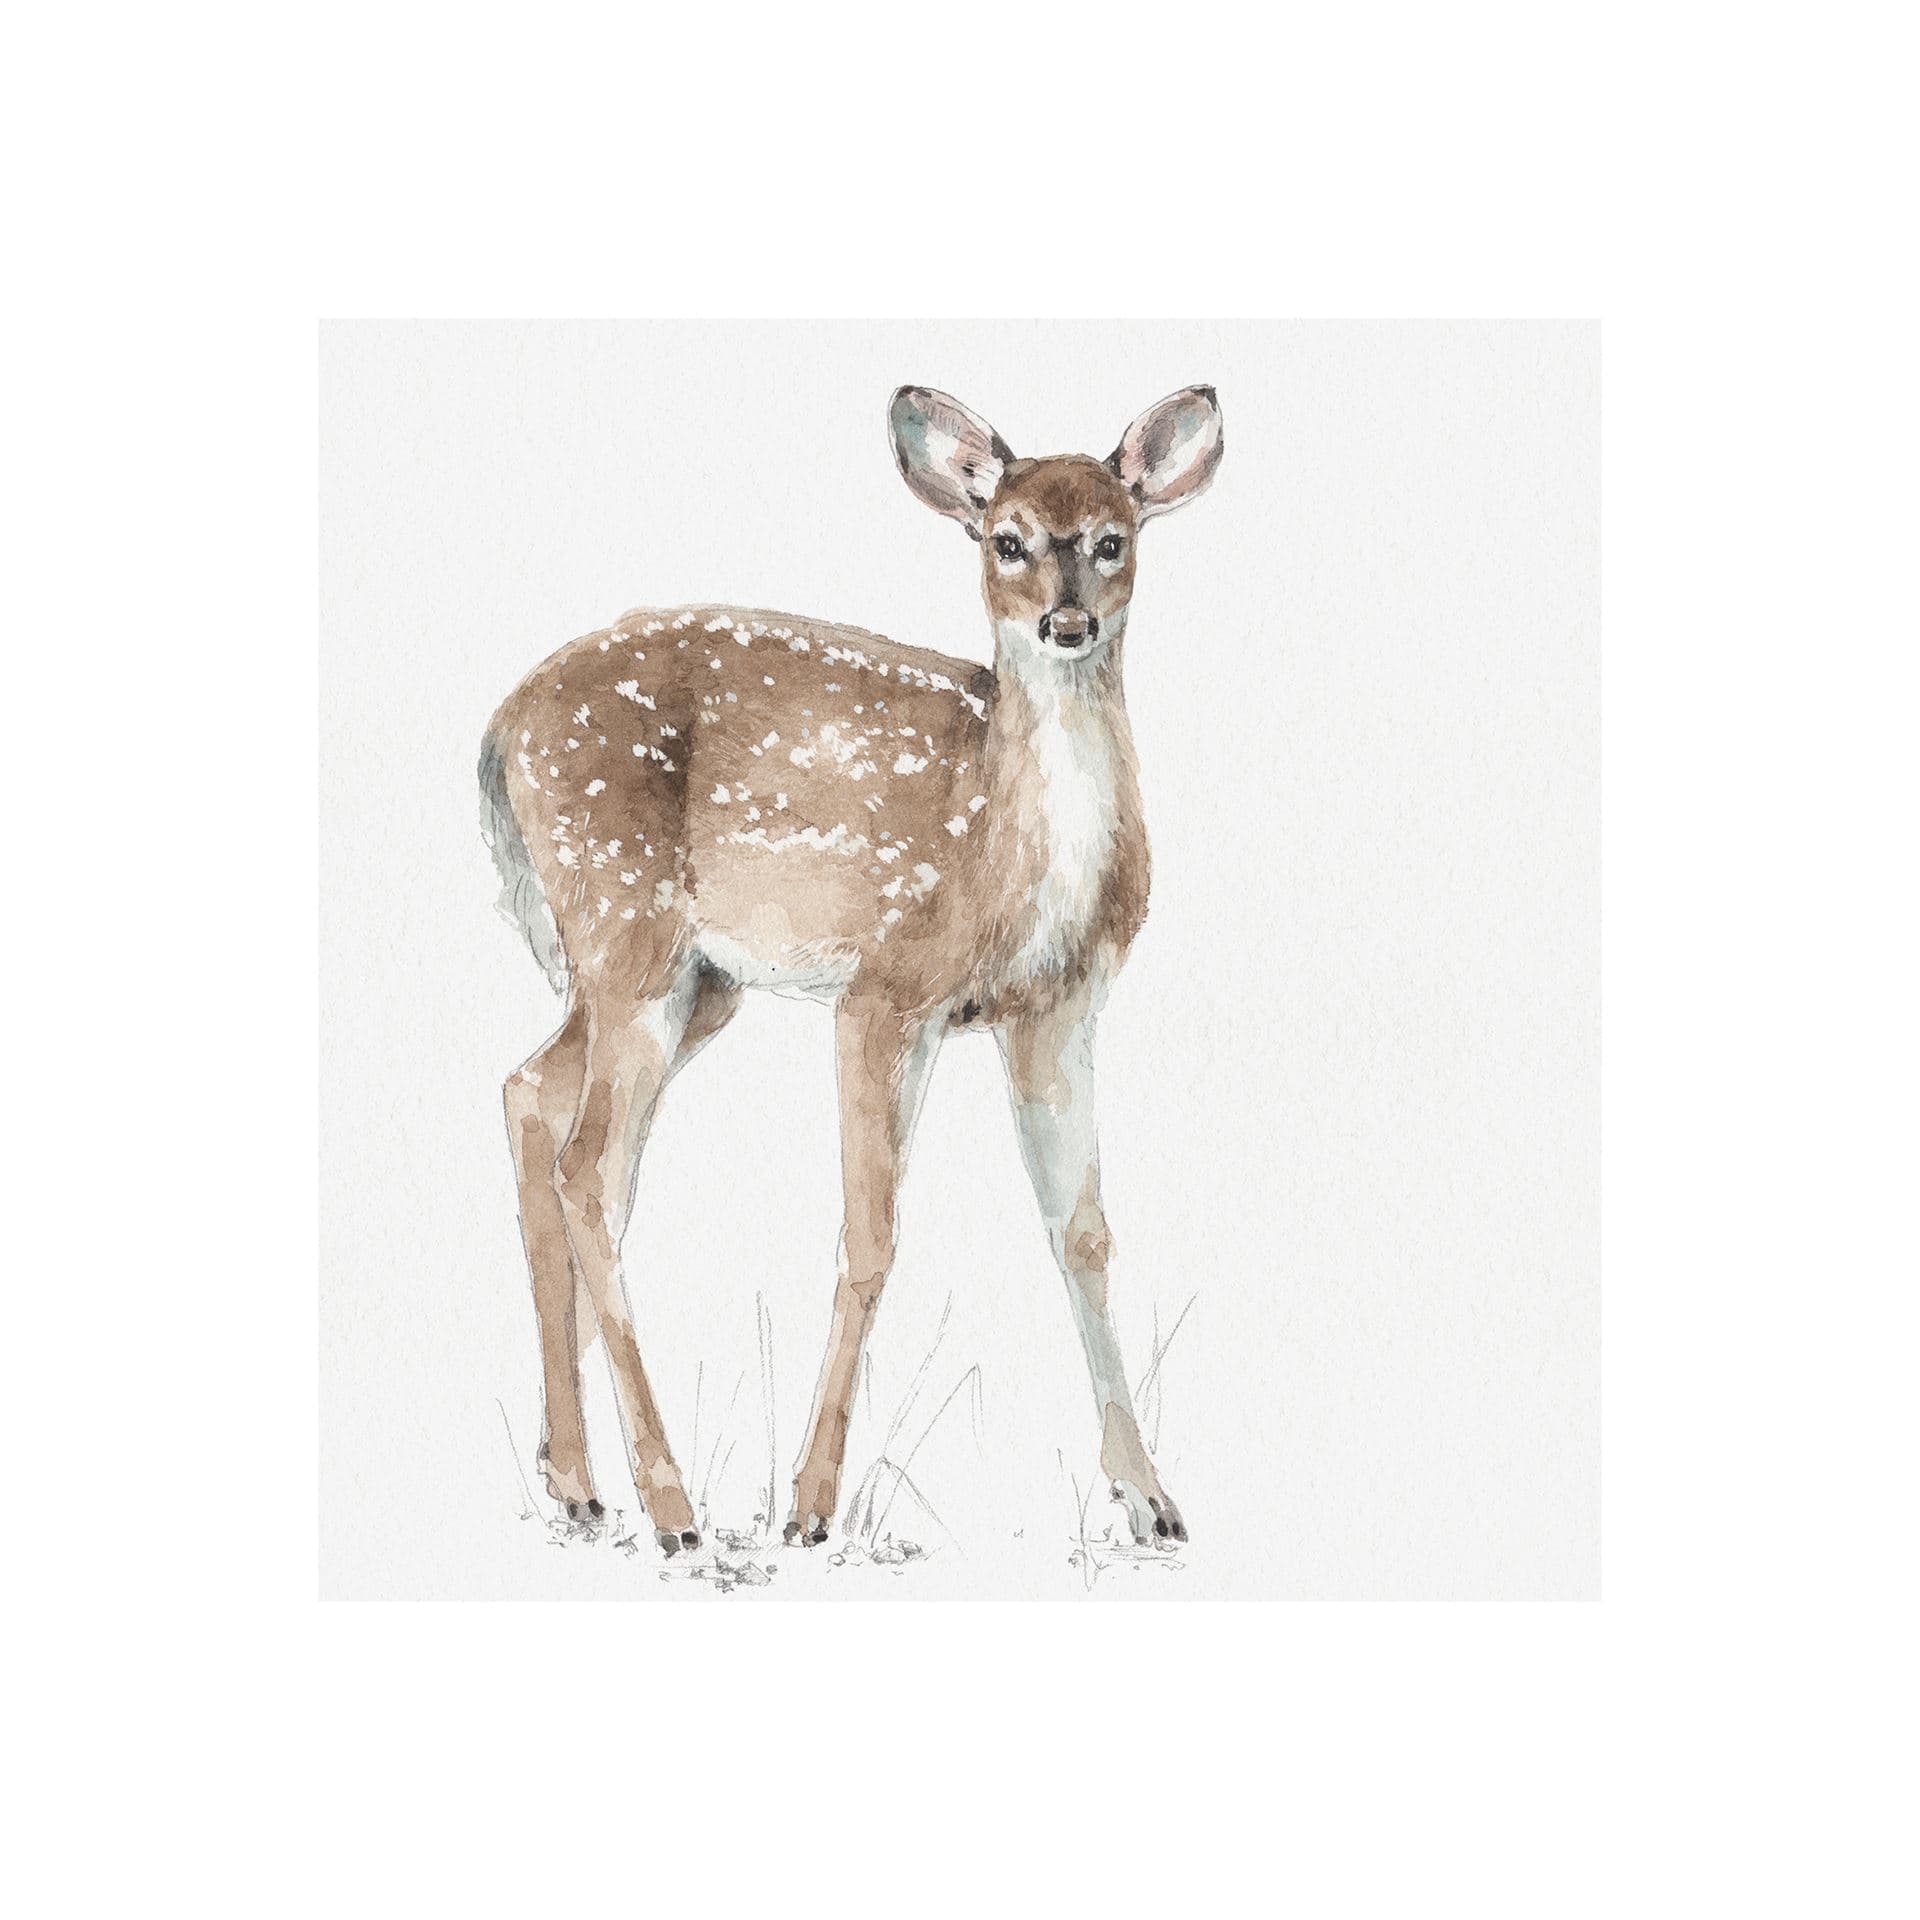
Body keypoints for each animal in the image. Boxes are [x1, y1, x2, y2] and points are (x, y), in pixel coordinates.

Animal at [479, 384, 1224, 1558]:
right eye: (1005, 540)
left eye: (1114, 539)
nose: (1067, 625)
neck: (1011, 851)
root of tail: (498, 735)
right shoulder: (886, 989)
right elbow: (870, 1238)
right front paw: (811, 1507)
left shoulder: (1057, 1007)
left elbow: (1084, 1233)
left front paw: (1152, 1501)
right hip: (624, 930)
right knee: (589, 1167)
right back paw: (672, 1507)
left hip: (688, 984)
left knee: (532, 1099)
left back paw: (578, 1484)